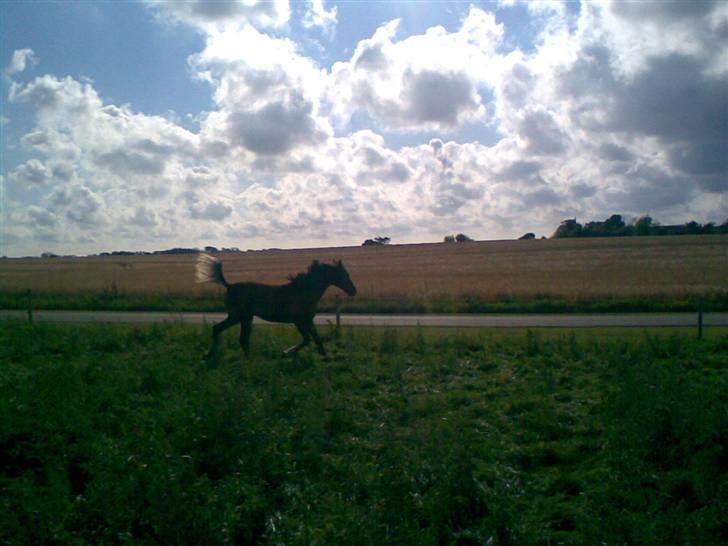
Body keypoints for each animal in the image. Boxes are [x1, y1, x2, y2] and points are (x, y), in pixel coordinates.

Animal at [195, 252, 356, 354]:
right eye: (345, 274)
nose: (354, 291)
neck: (304, 290)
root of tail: (229, 286)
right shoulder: (299, 321)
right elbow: (307, 339)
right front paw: (287, 352)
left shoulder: (308, 320)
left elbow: (316, 339)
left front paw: (324, 356)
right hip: (237, 316)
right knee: (221, 329)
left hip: (245, 317)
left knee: (240, 338)